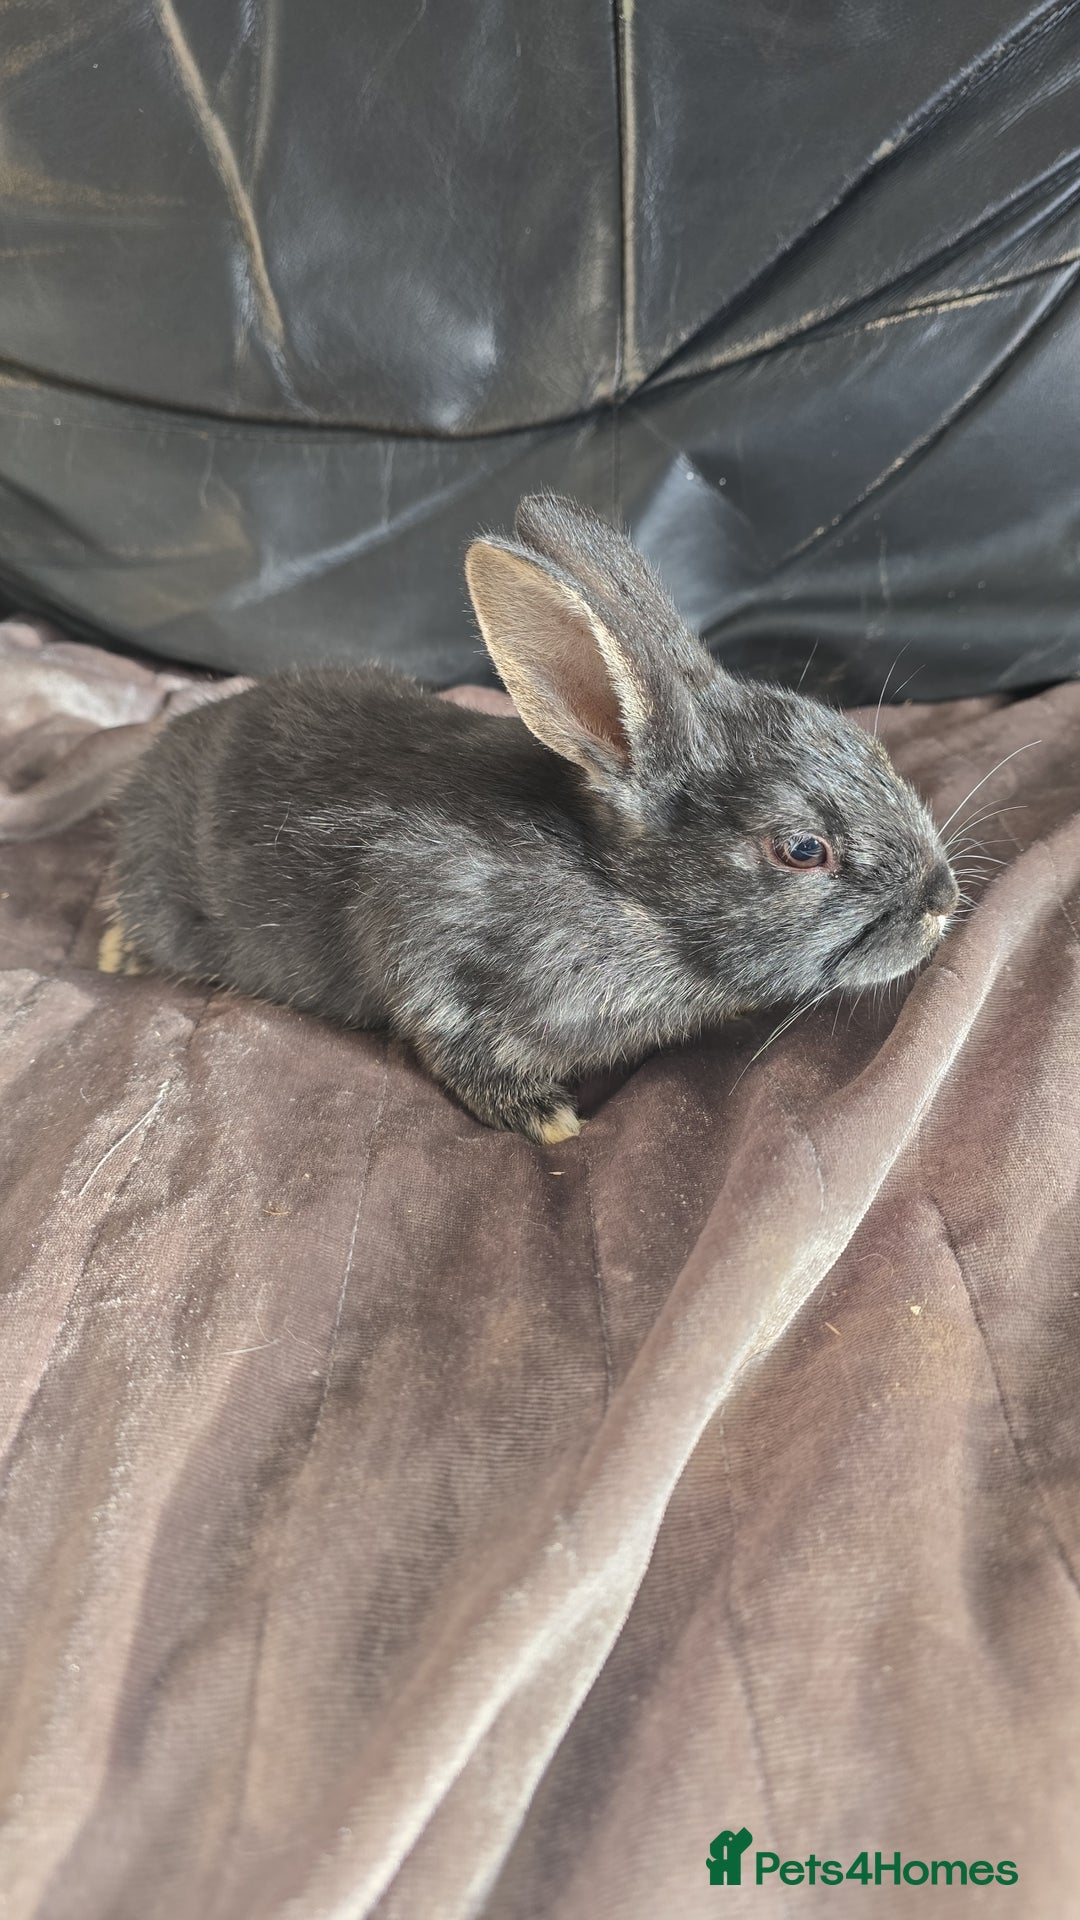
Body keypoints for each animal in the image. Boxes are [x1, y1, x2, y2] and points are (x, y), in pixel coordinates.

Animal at [99, 494, 958, 1142]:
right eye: (803, 849)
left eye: (868, 746)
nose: (941, 902)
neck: (625, 895)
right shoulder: (422, 922)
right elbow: (454, 1041)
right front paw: (546, 1119)